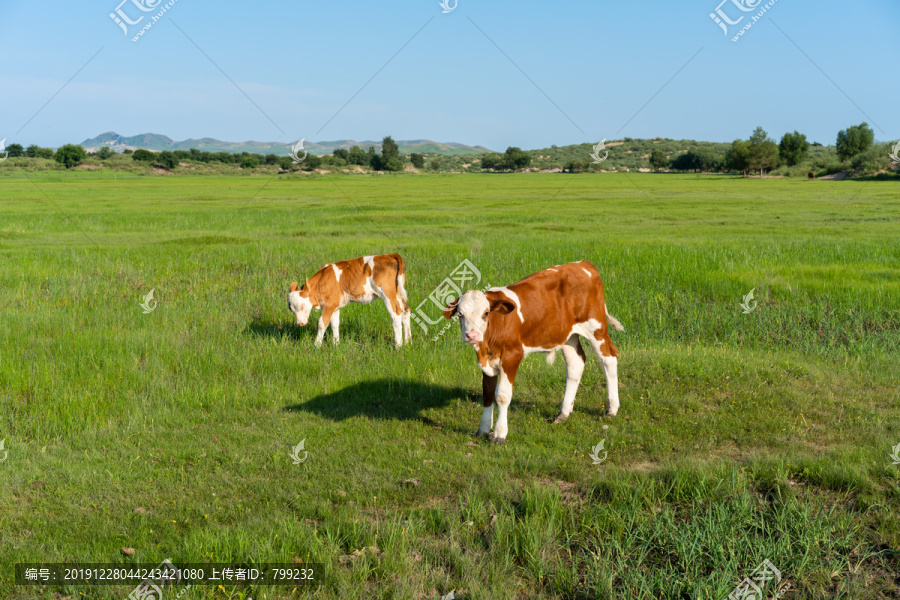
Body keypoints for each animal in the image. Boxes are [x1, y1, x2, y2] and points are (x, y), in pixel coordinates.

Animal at [444, 260, 624, 442]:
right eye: (460, 314)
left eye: (486, 313)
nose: (472, 335)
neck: (487, 346)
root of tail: (583, 264)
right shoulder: (487, 360)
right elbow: (487, 394)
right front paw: (483, 429)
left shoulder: (512, 355)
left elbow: (502, 396)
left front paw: (499, 434)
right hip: (567, 334)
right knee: (575, 364)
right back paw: (563, 413)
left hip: (596, 327)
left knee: (608, 359)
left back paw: (612, 409)